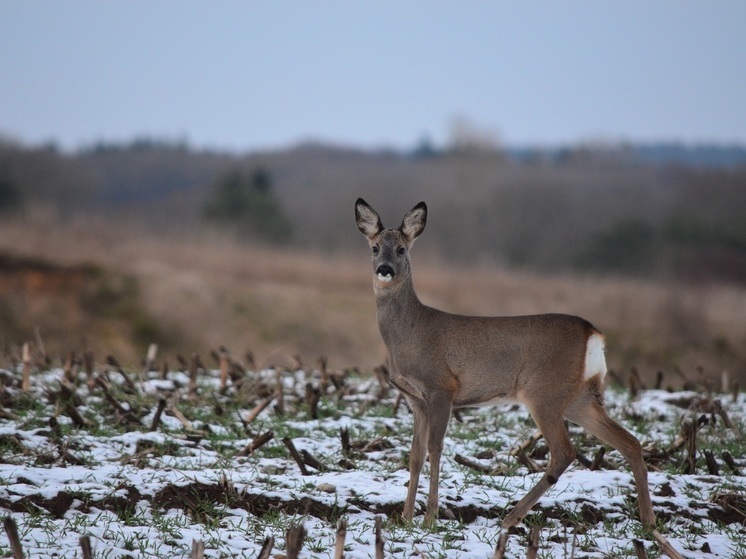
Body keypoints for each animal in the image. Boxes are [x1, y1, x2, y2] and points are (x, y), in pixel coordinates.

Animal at [354, 199, 652, 532]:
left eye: (402, 249)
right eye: (375, 247)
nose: (385, 269)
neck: (409, 333)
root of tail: (593, 334)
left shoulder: (441, 387)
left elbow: (435, 448)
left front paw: (429, 517)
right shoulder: (415, 398)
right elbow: (415, 454)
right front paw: (405, 517)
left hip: (543, 391)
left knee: (565, 451)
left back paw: (511, 517)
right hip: (580, 397)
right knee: (630, 442)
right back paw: (649, 522)